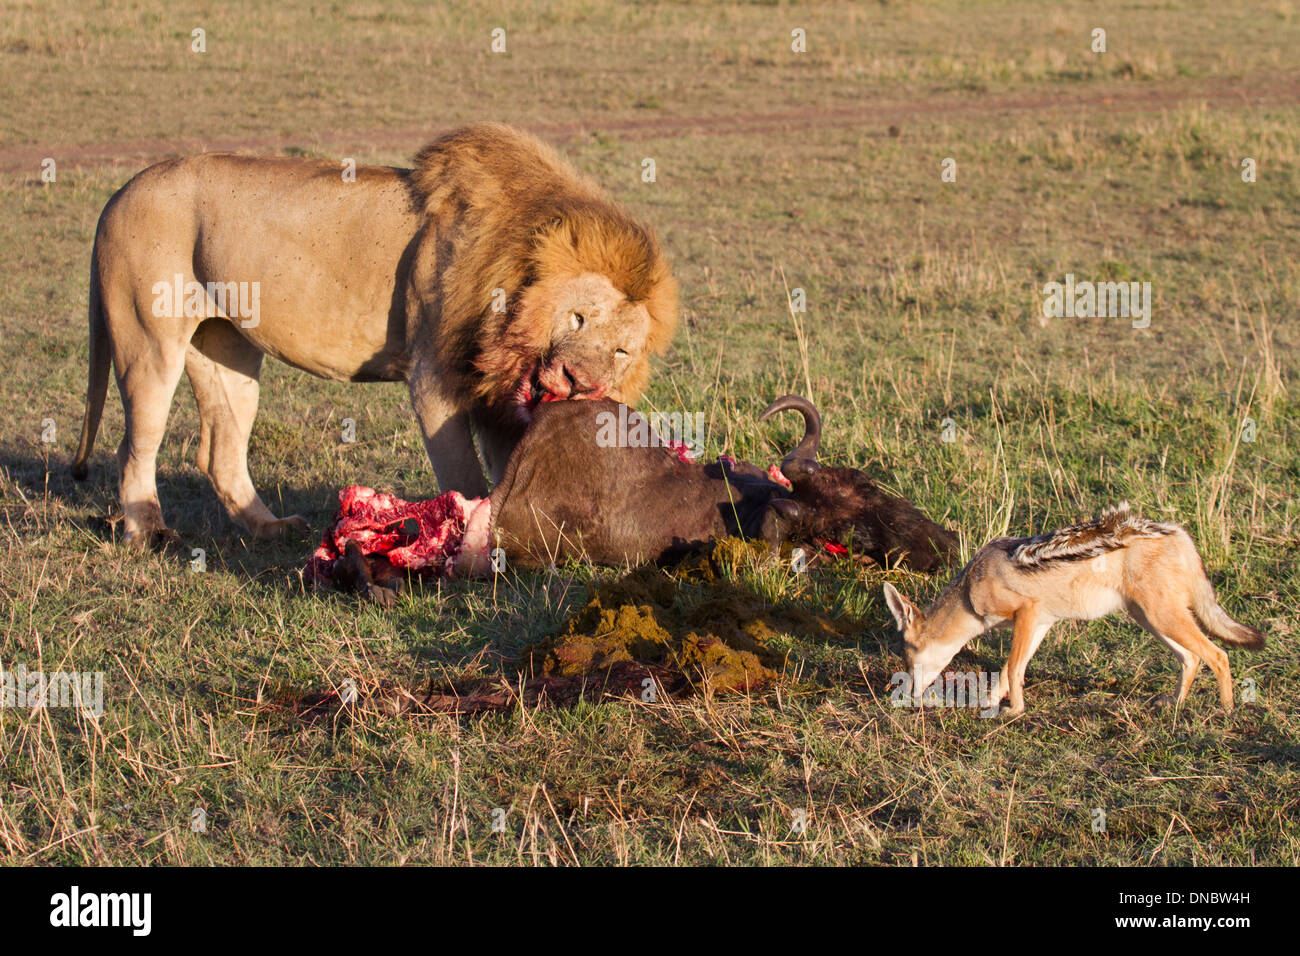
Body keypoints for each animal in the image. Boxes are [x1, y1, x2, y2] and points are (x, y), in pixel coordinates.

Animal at [70, 123, 678, 547]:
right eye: (577, 318)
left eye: (621, 351)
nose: (579, 381)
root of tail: (121, 190)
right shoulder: (434, 379)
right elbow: (466, 477)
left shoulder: (499, 404)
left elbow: (515, 469)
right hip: (148, 340)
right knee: (135, 443)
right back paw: (147, 532)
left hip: (226, 350)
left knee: (220, 453)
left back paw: (269, 528)